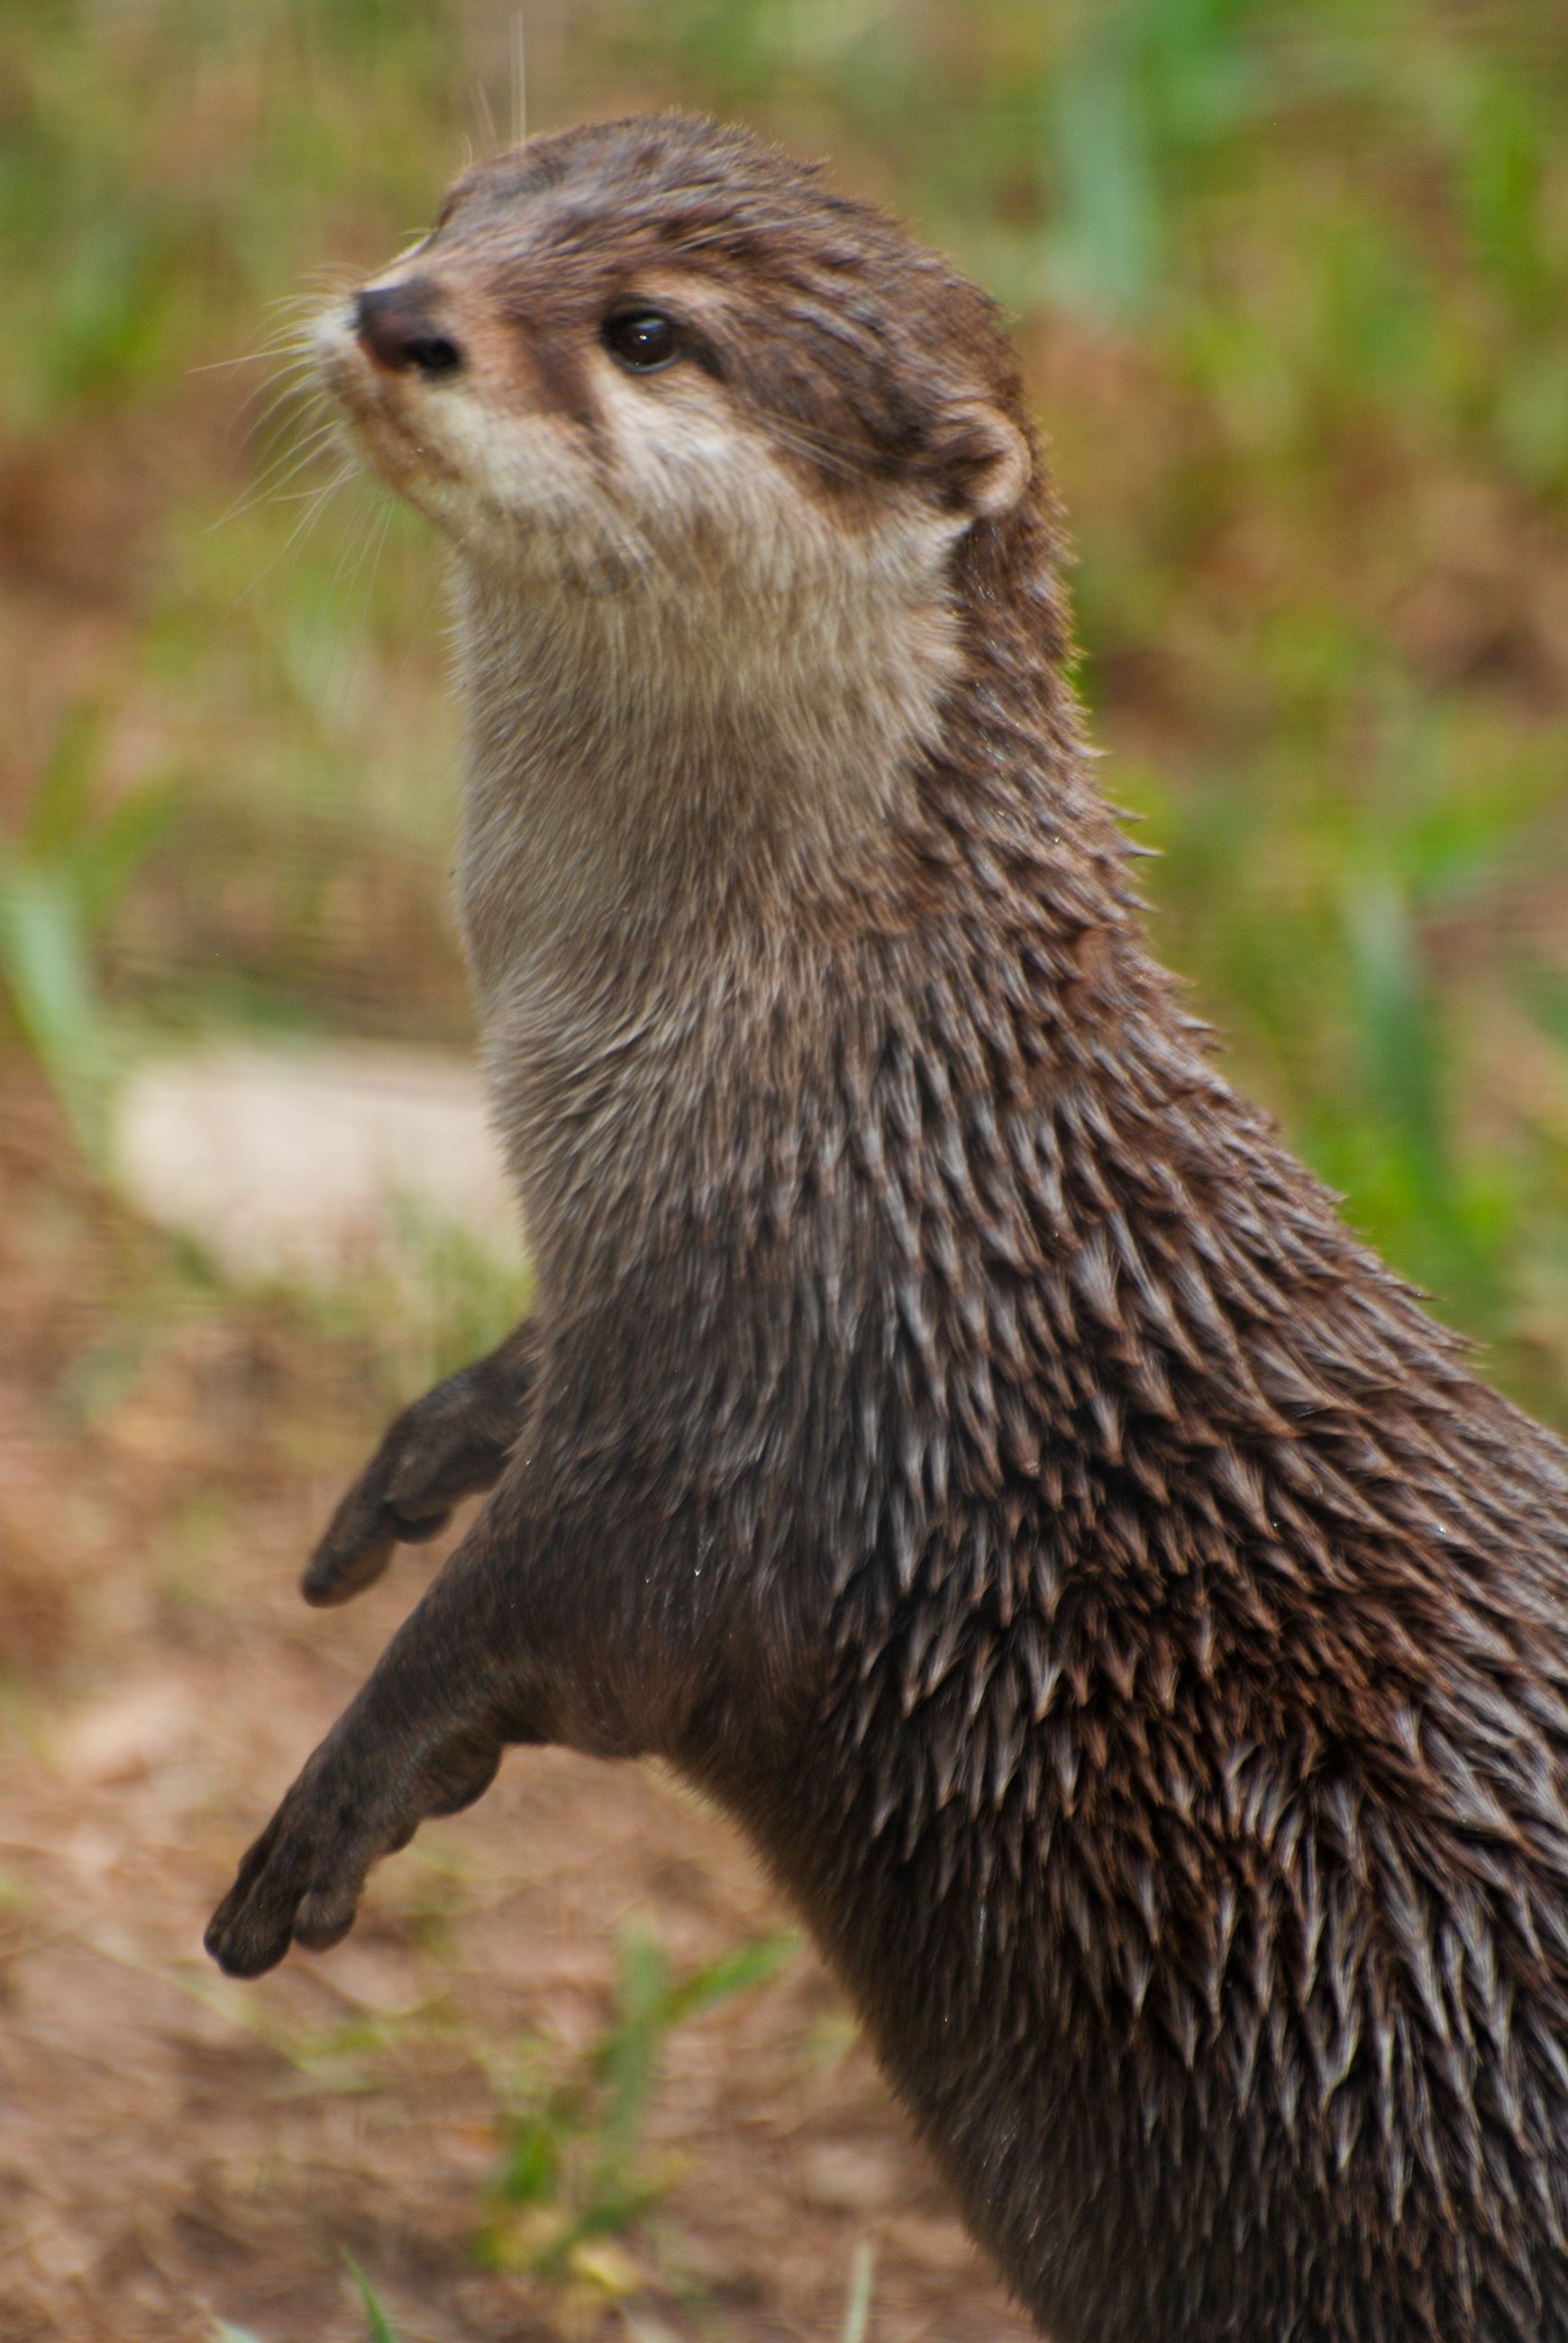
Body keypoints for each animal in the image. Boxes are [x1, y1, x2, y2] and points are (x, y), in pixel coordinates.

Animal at [206, 115, 1568, 2341]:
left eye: (647, 330)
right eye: (462, 206)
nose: (403, 315)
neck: (860, 1075)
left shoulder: (770, 1393)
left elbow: (558, 1618)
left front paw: (332, 1808)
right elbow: (521, 1397)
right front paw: (421, 1452)